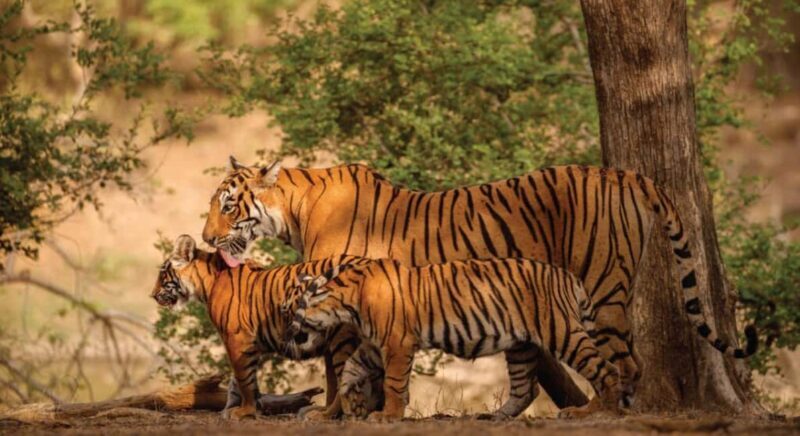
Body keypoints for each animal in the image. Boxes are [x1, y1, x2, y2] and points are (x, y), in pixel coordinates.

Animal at [149, 235, 382, 419]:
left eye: (162, 274)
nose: (152, 295)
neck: (208, 282)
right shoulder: (248, 342)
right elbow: (239, 381)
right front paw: (238, 409)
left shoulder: (237, 338)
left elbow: (244, 379)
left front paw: (245, 411)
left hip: (342, 338)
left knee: (348, 381)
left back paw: (325, 415)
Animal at [201, 156, 744, 409]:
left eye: (227, 205)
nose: (205, 238)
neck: (292, 212)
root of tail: (625, 174)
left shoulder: (339, 305)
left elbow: (339, 368)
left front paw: (341, 410)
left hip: (602, 285)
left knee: (626, 362)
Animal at [285, 258, 757, 421]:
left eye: (293, 309)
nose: (291, 334)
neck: (347, 300)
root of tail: (569, 276)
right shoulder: (371, 345)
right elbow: (349, 372)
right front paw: (332, 411)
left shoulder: (398, 344)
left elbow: (397, 384)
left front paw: (387, 414)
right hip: (520, 345)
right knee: (524, 388)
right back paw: (495, 416)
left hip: (563, 332)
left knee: (605, 369)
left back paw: (591, 412)